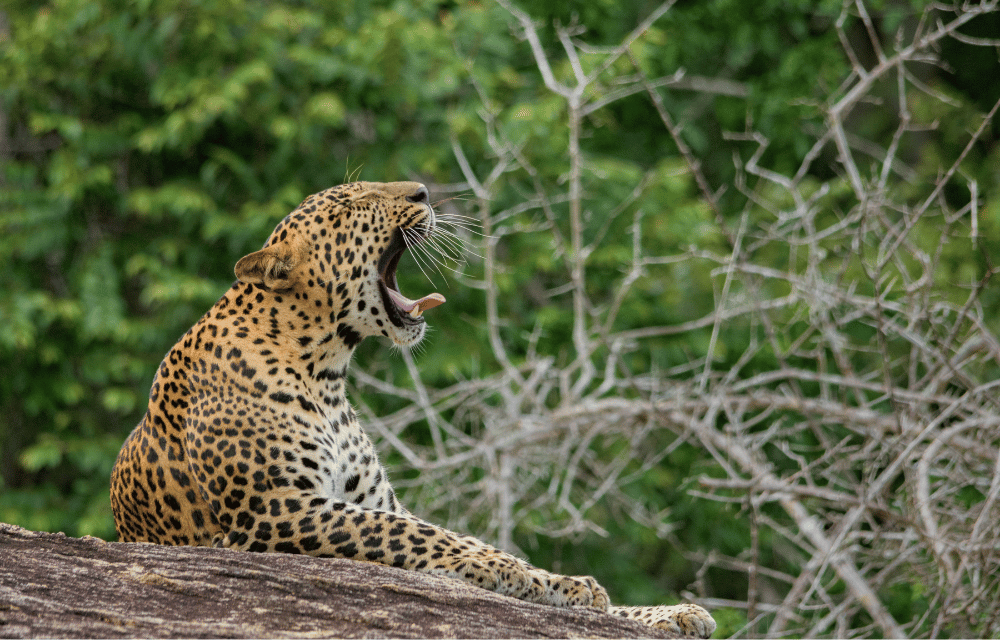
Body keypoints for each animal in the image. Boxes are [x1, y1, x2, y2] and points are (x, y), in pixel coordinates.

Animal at [109, 181, 716, 640]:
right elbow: (420, 535)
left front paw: (608, 596)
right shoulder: (274, 510)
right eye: (350, 205)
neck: (326, 373)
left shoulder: (368, 500)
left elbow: (428, 528)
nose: (423, 190)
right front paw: (508, 570)